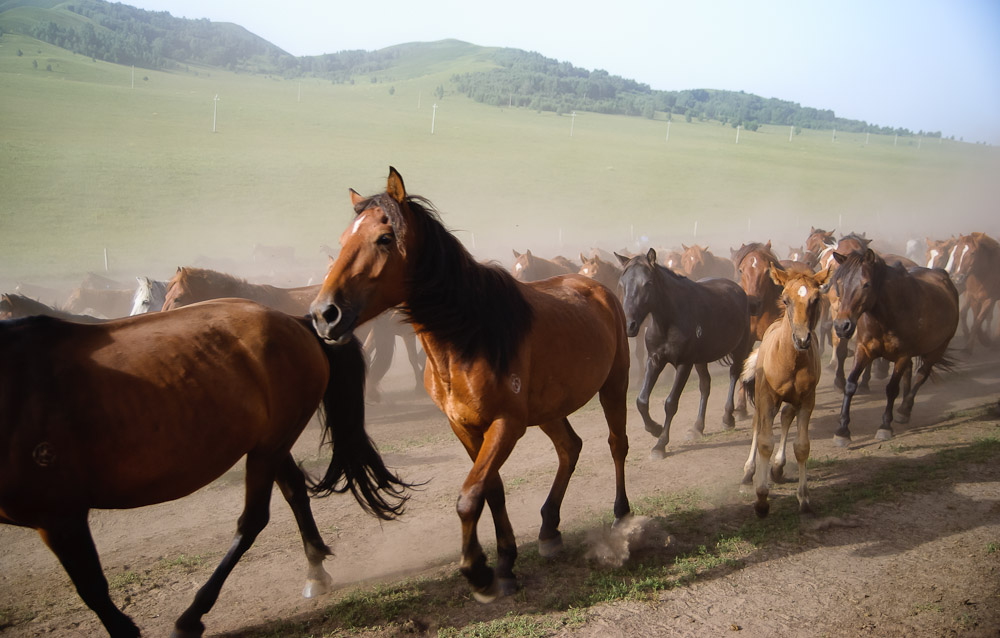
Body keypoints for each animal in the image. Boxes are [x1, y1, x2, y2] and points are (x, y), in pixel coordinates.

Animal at [0, 300, 408, 638]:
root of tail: (294, 322)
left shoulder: (59, 517)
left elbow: (93, 590)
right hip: (272, 444)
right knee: (294, 490)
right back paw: (315, 571)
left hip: (268, 449)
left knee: (252, 521)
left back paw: (192, 616)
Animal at [308, 168, 628, 604]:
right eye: (343, 240)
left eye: (385, 238)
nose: (324, 314)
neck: (469, 336)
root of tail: (596, 287)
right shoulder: (464, 427)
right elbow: (491, 490)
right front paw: (506, 564)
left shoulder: (506, 425)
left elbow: (470, 495)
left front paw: (478, 571)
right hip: (549, 409)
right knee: (569, 448)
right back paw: (549, 529)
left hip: (614, 385)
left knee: (616, 445)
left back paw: (621, 516)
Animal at [616, 249, 752, 460]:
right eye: (622, 284)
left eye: (647, 283)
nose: (629, 325)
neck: (669, 319)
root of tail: (737, 289)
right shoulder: (654, 360)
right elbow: (641, 401)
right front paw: (655, 428)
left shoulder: (684, 364)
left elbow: (671, 403)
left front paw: (660, 444)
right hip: (701, 360)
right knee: (705, 385)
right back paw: (697, 427)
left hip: (739, 348)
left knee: (734, 374)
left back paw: (728, 417)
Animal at [740, 264, 832, 520]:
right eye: (785, 299)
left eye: (816, 298)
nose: (802, 339)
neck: (791, 360)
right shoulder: (766, 397)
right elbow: (764, 442)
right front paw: (761, 499)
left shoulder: (807, 400)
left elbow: (801, 447)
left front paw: (804, 499)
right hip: (764, 397)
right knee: (758, 425)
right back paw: (749, 470)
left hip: (792, 400)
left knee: (786, 416)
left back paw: (778, 467)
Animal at [828, 248, 960, 448]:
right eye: (840, 283)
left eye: (866, 285)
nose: (842, 326)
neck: (886, 315)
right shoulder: (863, 350)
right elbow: (850, 385)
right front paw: (842, 431)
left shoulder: (902, 355)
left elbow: (891, 388)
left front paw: (885, 426)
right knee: (910, 372)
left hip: (938, 348)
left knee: (921, 374)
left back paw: (905, 409)